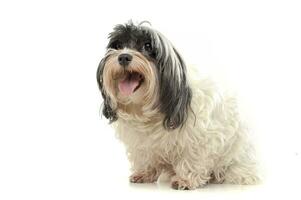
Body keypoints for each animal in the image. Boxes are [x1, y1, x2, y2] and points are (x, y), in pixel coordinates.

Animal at [96, 21, 260, 190]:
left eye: (147, 46)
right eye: (118, 45)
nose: (123, 56)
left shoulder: (199, 137)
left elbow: (192, 157)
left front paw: (186, 179)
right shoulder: (141, 142)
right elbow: (145, 156)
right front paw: (145, 173)